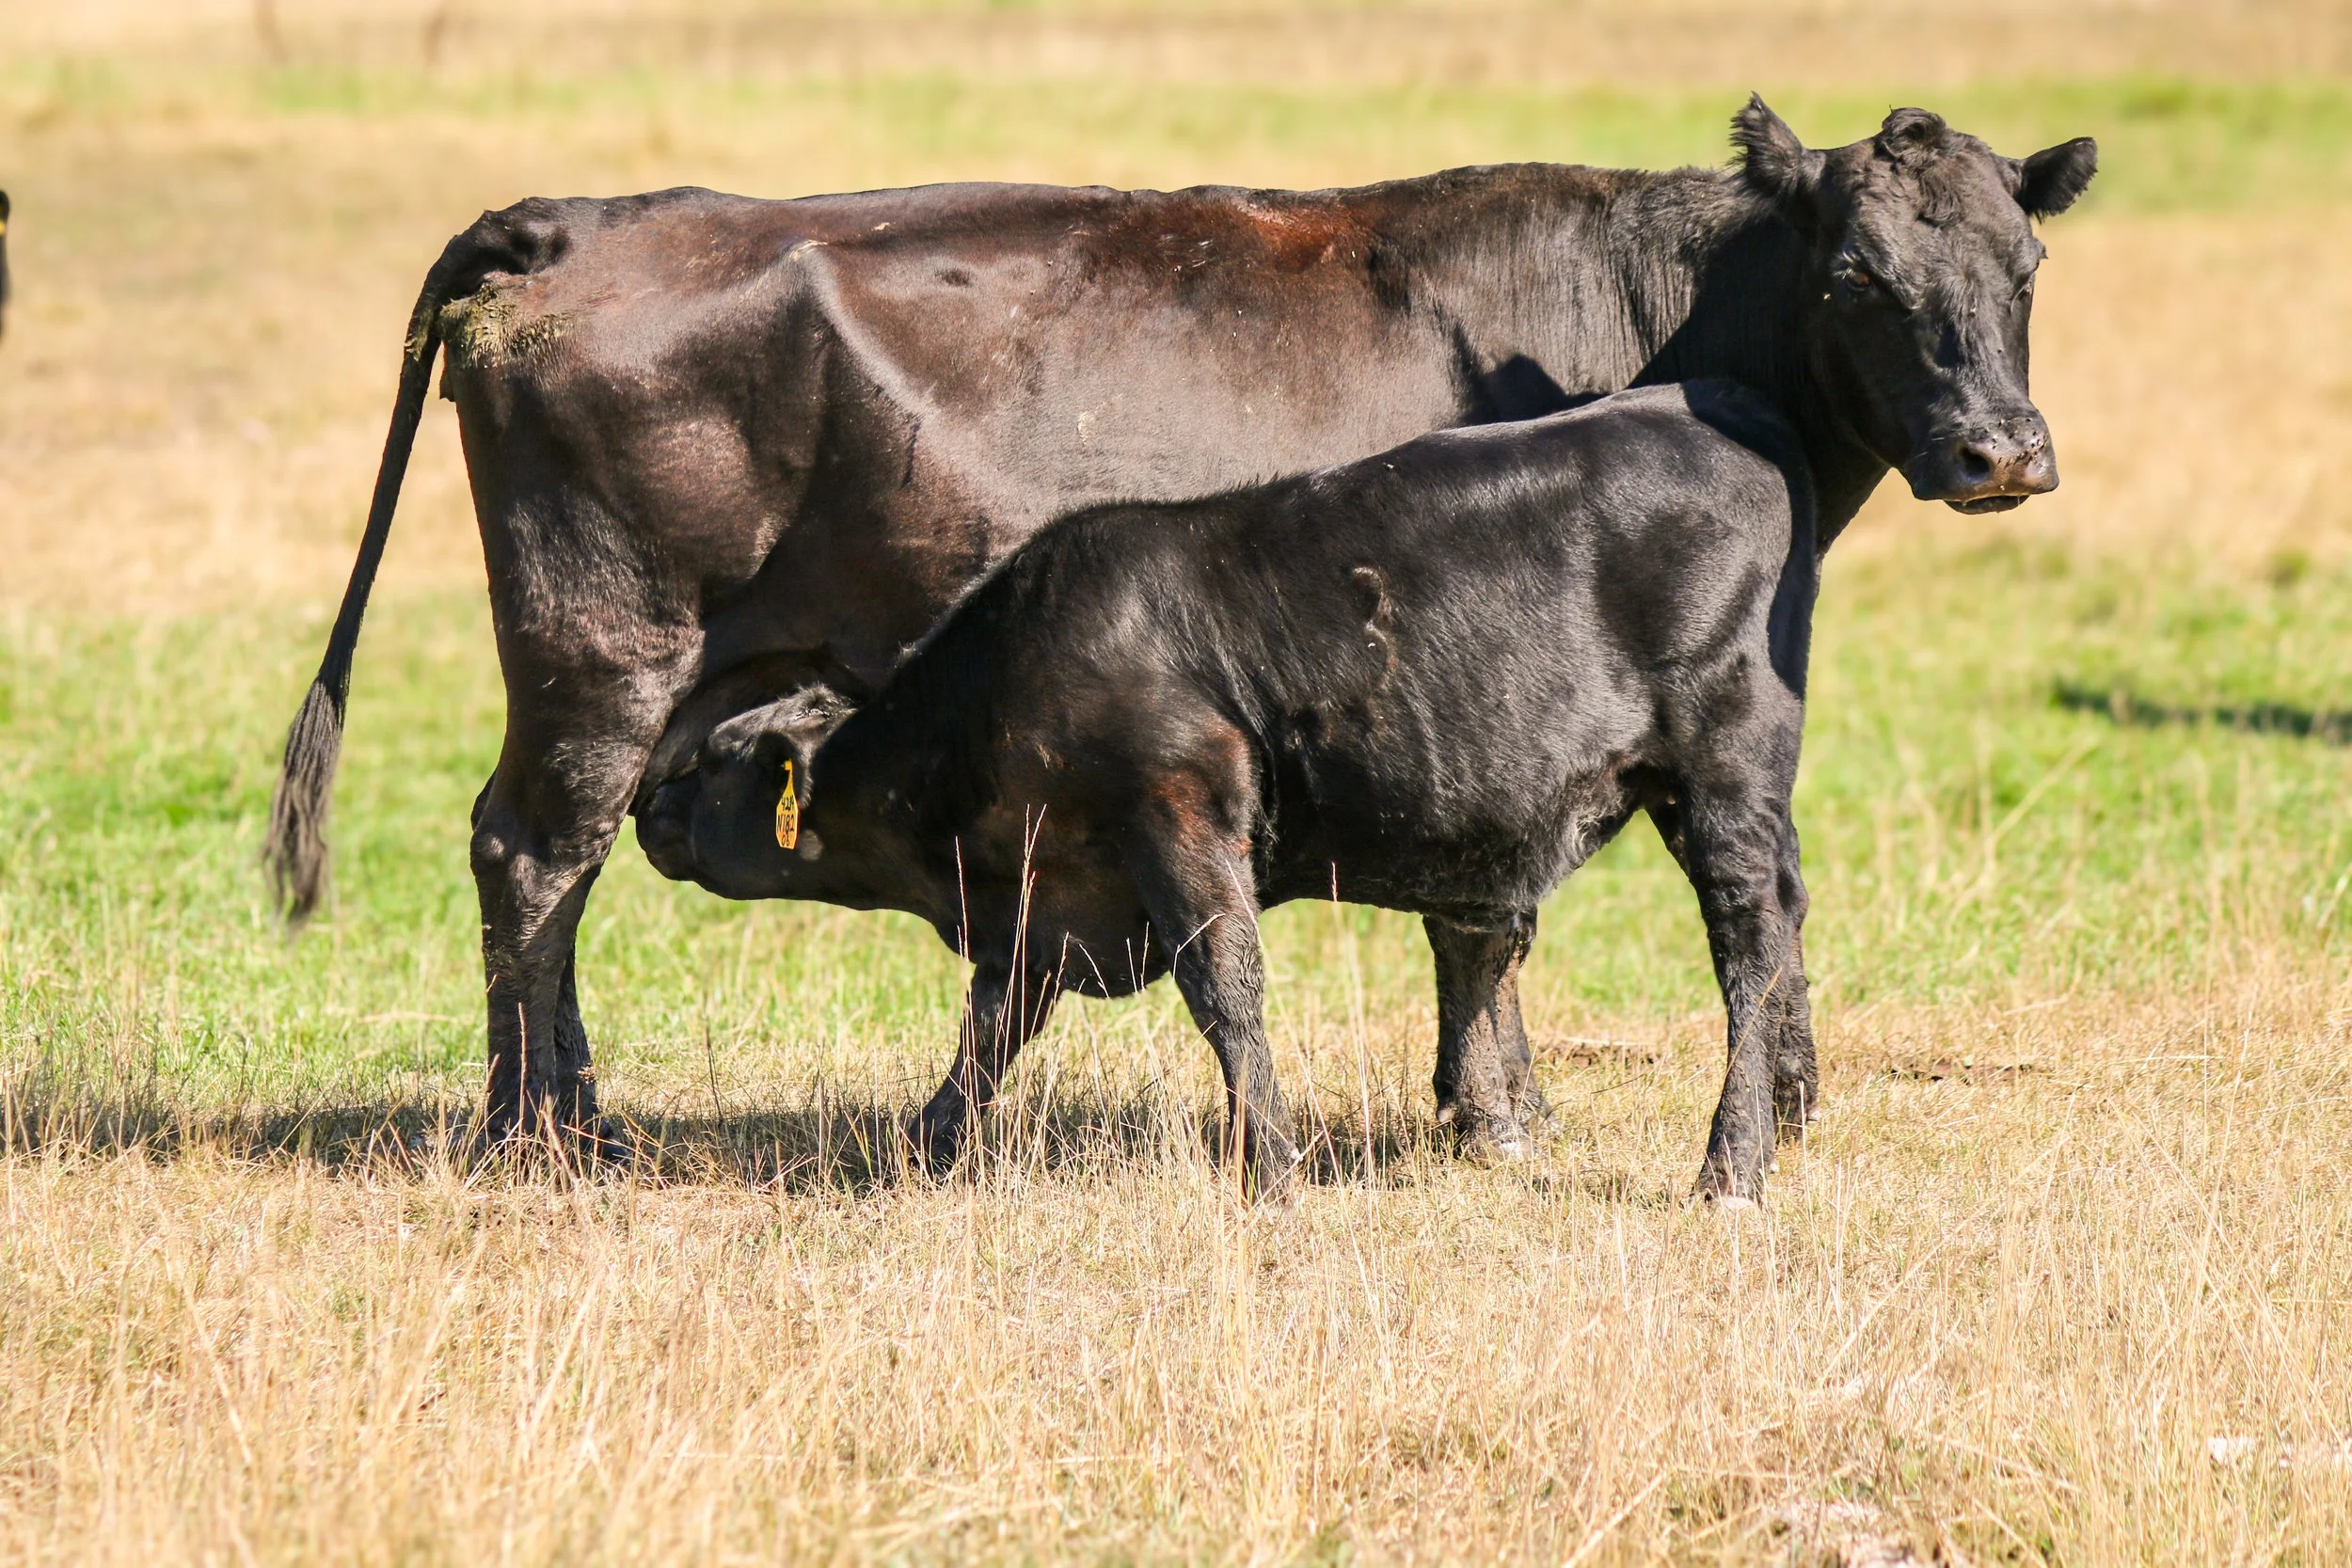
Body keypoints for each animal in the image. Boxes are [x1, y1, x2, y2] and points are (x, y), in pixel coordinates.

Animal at [636, 380, 1818, 1203]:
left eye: (710, 760)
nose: (645, 803)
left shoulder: (1181, 808)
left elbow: (1225, 988)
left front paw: (1274, 1168)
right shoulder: (1038, 896)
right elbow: (992, 1026)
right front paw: (922, 1149)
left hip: (1721, 768)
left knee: (1749, 951)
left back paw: (1729, 1169)